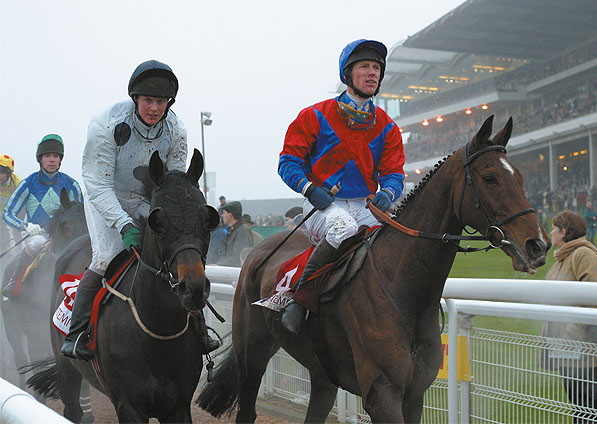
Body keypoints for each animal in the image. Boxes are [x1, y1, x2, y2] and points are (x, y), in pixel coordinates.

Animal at [198, 114, 552, 422]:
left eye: (520, 177)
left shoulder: (414, 395)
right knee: (247, 407)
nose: (538, 244)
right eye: (490, 178)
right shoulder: (382, 394)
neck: (403, 289)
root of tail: (256, 252)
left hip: (321, 374)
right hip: (253, 355)